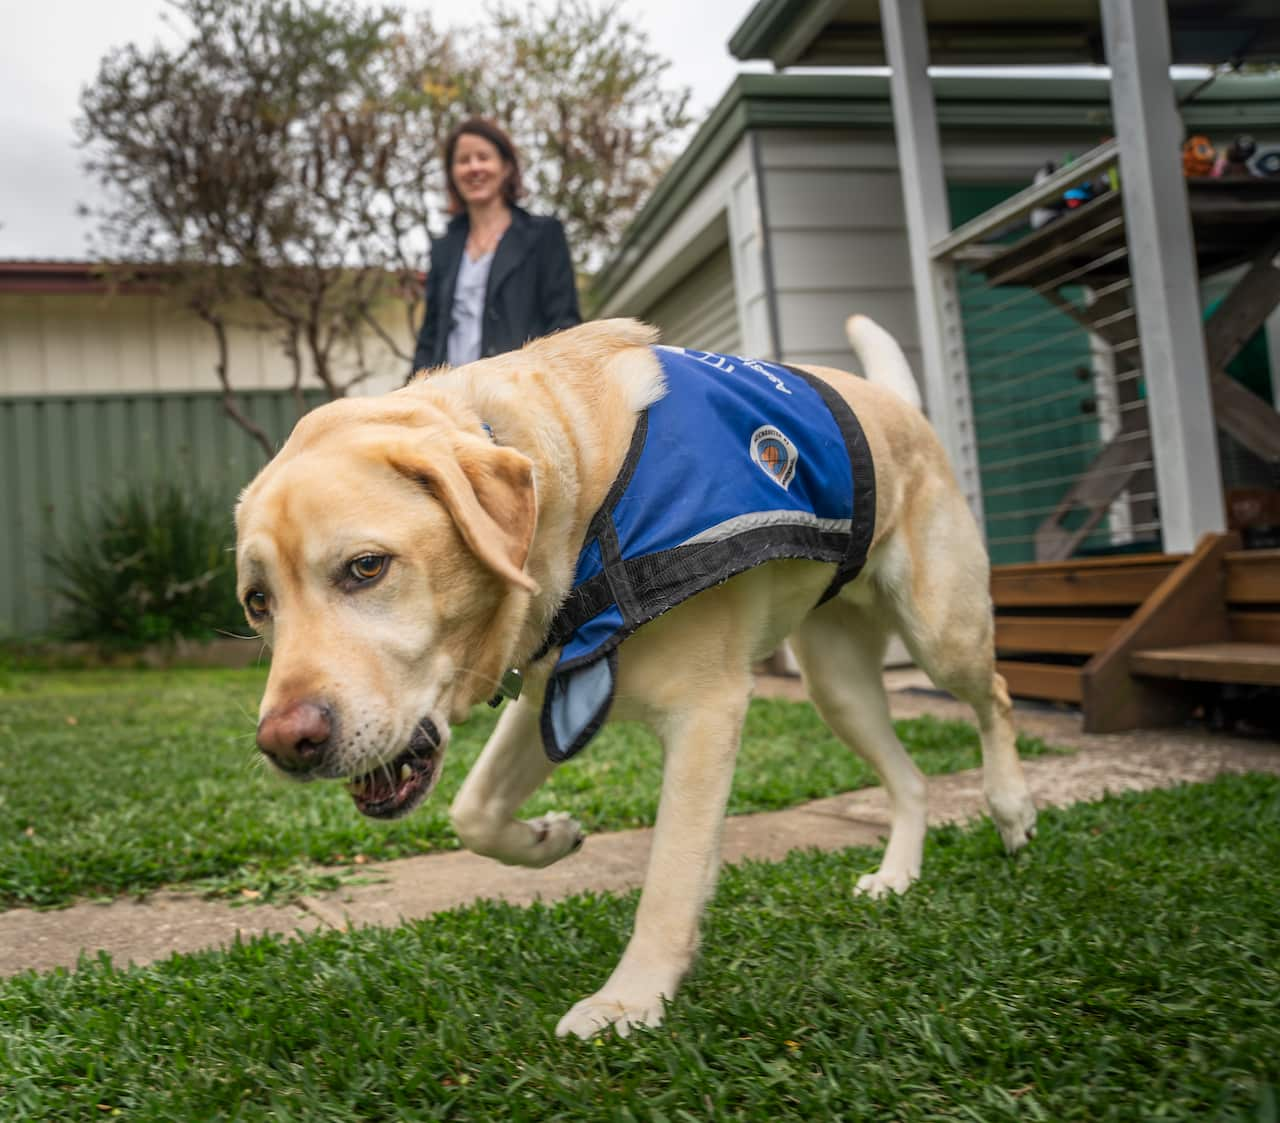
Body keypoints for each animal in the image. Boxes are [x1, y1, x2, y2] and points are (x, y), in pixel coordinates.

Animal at [238, 313, 1039, 1034]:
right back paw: (899, 874)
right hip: (836, 684)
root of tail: (895, 404)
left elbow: (672, 874)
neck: (575, 492)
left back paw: (1011, 808)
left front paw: (630, 999)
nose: (285, 742)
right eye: (257, 602)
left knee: (996, 695)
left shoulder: (705, 712)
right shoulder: (556, 693)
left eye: (366, 567)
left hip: (941, 632)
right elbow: (474, 812)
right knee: (911, 779)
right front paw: (549, 838)